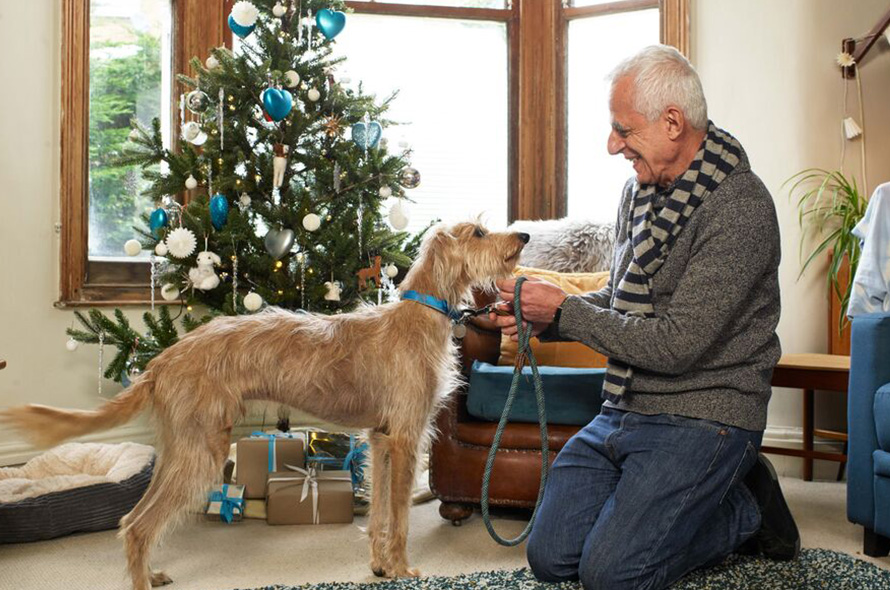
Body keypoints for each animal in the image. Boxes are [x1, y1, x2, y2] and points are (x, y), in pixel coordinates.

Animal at [1, 222, 528, 590]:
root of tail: (164, 357)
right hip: (202, 453)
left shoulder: (380, 440)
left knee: (134, 518)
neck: (420, 312)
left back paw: (150, 574)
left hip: (182, 449)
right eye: (478, 232)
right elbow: (398, 518)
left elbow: (379, 514)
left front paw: (380, 566)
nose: (523, 234)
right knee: (136, 525)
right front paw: (401, 569)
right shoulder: (404, 439)